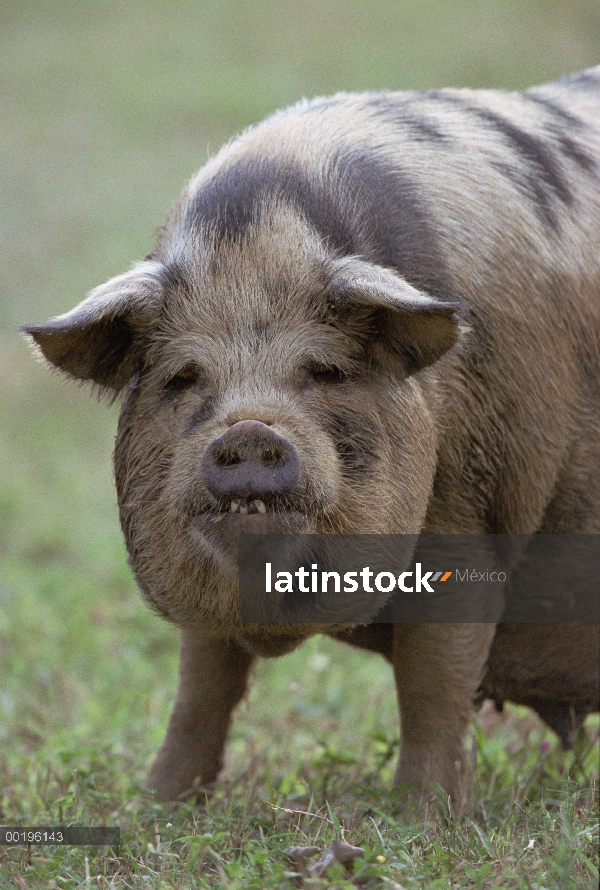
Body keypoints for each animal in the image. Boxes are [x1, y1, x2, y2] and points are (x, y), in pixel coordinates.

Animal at [24, 67, 600, 804]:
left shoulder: (479, 510)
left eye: (324, 370)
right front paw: (156, 802)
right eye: (184, 377)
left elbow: (434, 681)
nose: (248, 428)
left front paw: (417, 815)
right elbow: (201, 684)